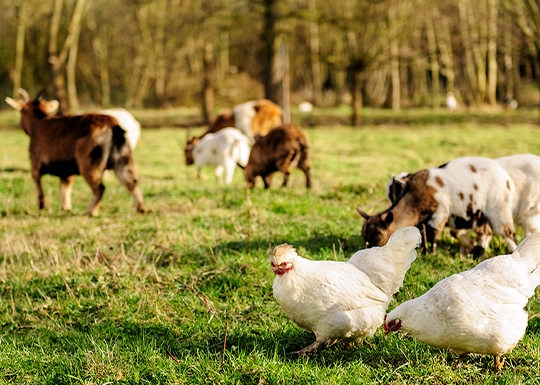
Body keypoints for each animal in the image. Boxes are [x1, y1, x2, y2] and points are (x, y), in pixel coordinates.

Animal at [5, 90, 148, 216]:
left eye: (22, 110)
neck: (37, 123)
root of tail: (112, 126)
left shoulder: (36, 161)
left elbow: (37, 181)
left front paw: (42, 206)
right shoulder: (67, 169)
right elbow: (65, 186)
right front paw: (66, 207)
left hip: (90, 159)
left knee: (100, 187)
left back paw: (90, 212)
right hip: (123, 156)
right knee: (131, 181)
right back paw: (141, 209)